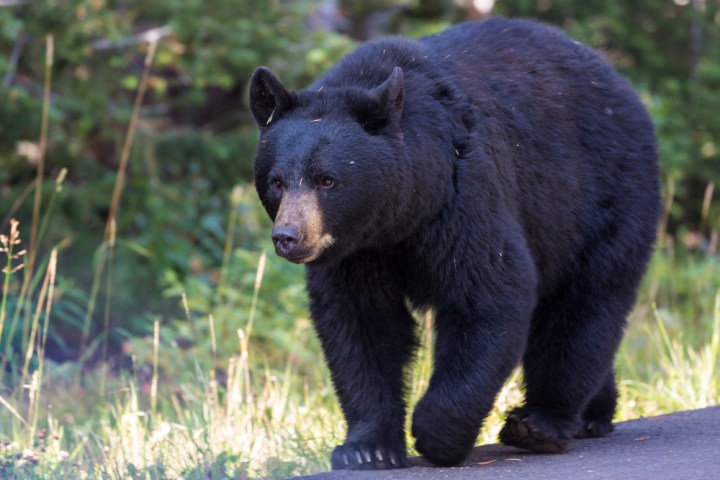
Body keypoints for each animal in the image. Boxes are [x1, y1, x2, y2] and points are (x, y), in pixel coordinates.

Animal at [248, 17, 660, 470]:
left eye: (327, 180)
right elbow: (361, 324)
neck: (398, 217)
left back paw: (541, 422)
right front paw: (366, 448)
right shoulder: (355, 253)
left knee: (584, 306)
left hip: (603, 199)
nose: (288, 237)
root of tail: (620, 81)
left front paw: (437, 433)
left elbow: (489, 294)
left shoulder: (464, 196)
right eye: (277, 182)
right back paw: (593, 413)